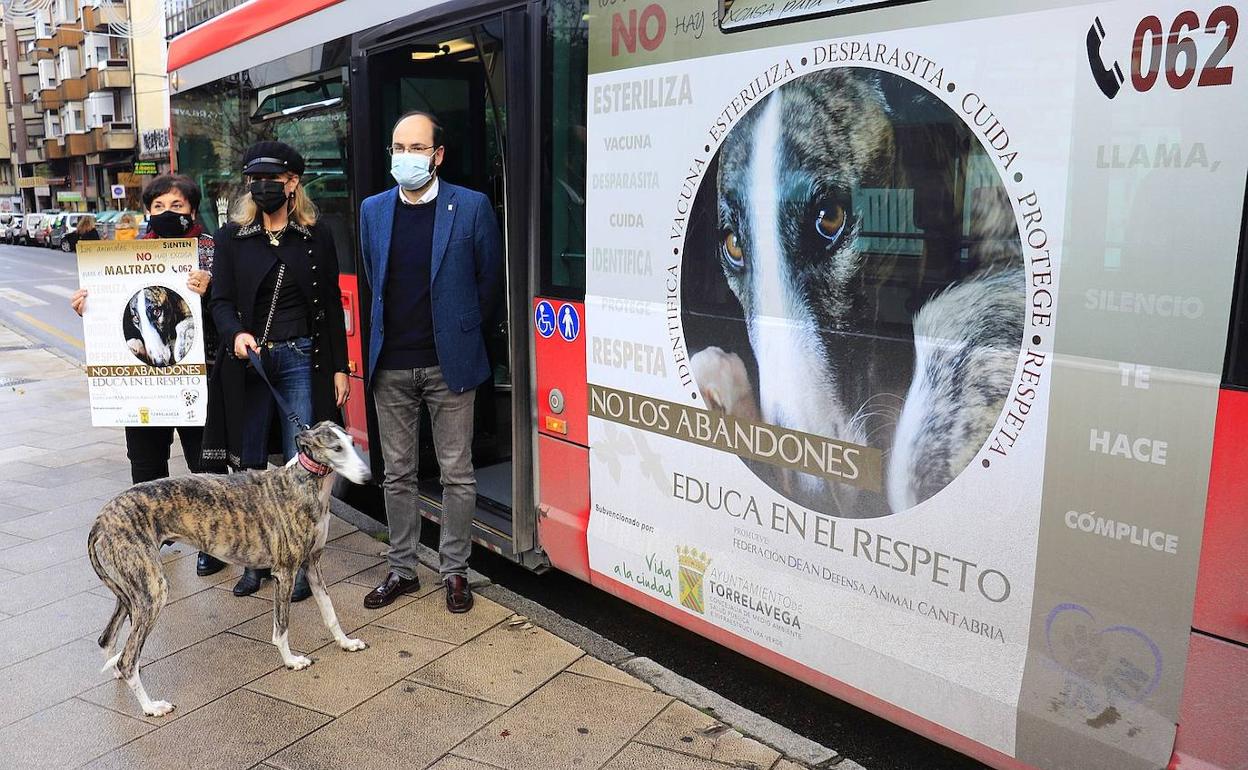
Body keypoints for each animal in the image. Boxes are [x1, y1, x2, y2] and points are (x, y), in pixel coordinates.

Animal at [87, 419, 369, 713]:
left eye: (352, 443)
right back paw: (152, 707)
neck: (302, 482)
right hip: (152, 592)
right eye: (336, 448)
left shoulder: (312, 564)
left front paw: (347, 642)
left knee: (107, 639)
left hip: (131, 591)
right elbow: (281, 628)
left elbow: (330, 612)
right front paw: (291, 661)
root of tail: (100, 521)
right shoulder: (285, 573)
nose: (367, 477)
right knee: (127, 659)